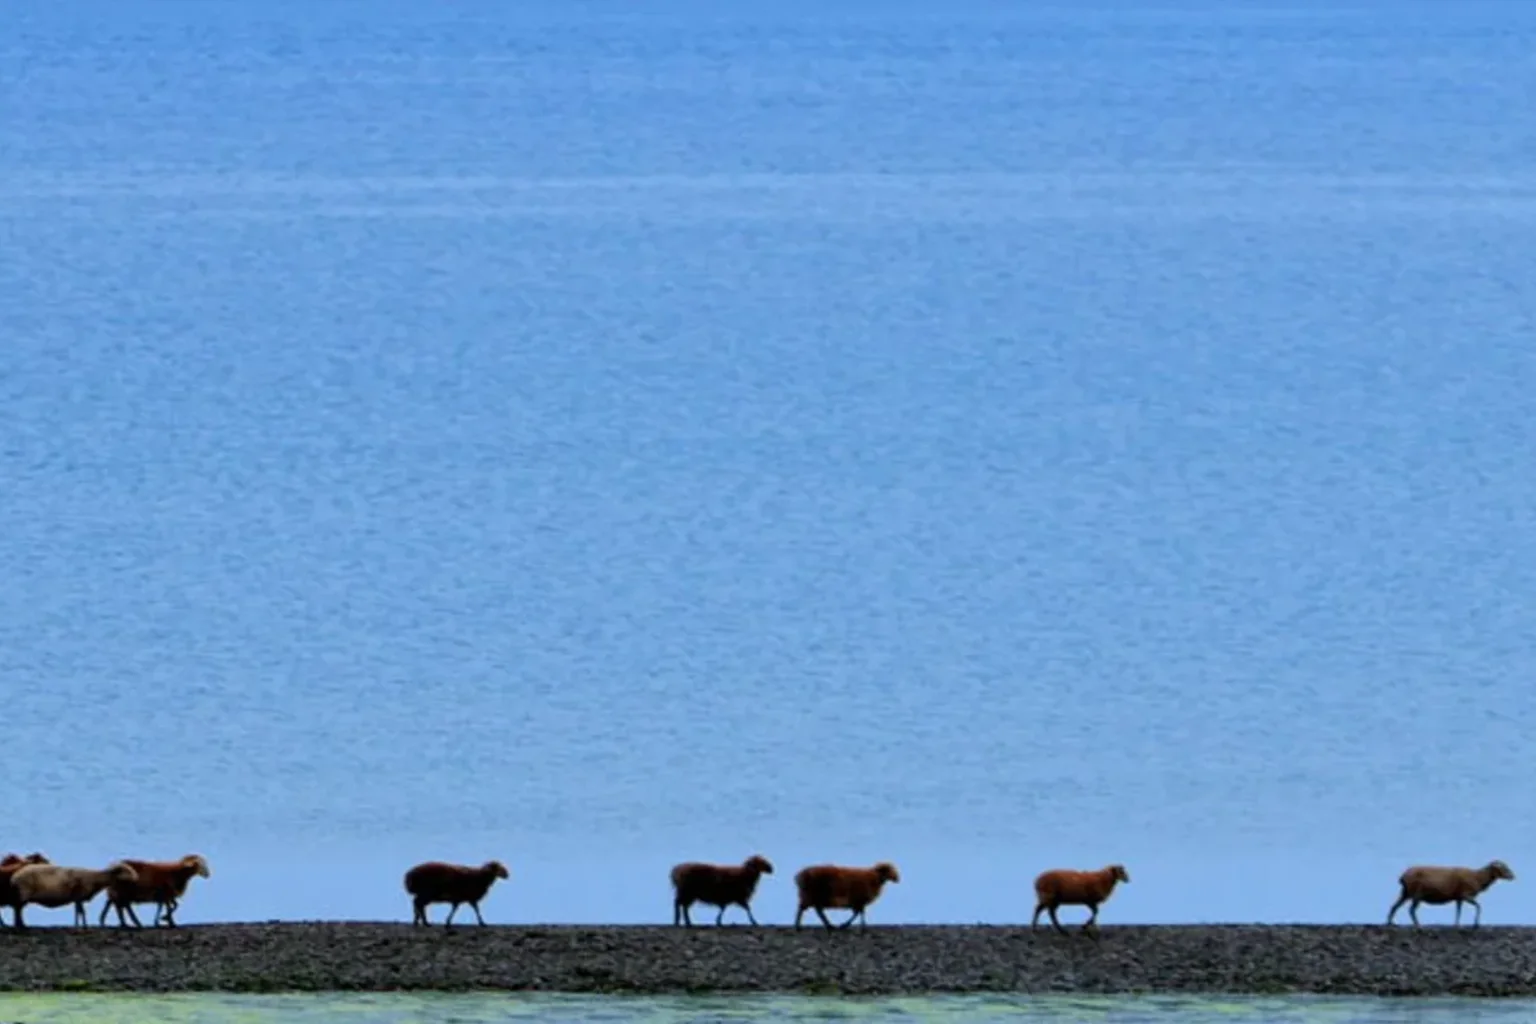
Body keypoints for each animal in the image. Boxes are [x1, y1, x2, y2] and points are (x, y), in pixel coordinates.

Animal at [10, 861, 139, 929]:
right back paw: (20, 925)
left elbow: (79, 911)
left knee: (18, 909)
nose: (136, 878)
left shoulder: (77, 898)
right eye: (126, 870)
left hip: (22, 894)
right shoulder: (79, 895)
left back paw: (20, 925)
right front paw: (82, 926)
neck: (95, 878)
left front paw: (80, 925)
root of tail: (15, 877)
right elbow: (81, 912)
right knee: (17, 908)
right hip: (24, 892)